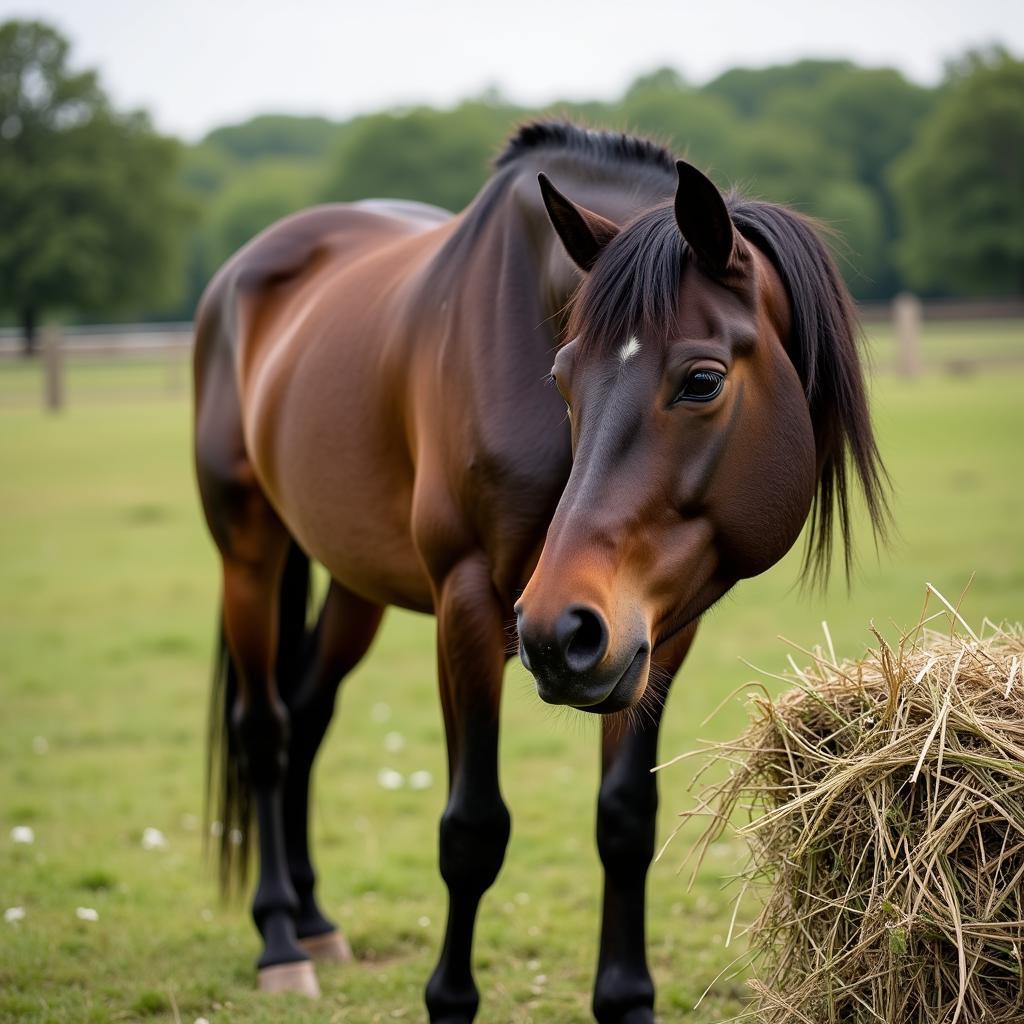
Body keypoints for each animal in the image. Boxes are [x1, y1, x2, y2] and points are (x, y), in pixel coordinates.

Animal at [192, 121, 888, 1024]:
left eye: (702, 380)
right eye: (561, 378)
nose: (560, 632)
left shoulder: (655, 633)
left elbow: (625, 819)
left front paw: (626, 1000)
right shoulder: (468, 605)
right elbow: (472, 829)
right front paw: (450, 1001)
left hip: (355, 585)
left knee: (306, 713)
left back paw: (313, 921)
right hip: (249, 551)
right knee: (266, 730)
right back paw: (279, 939)